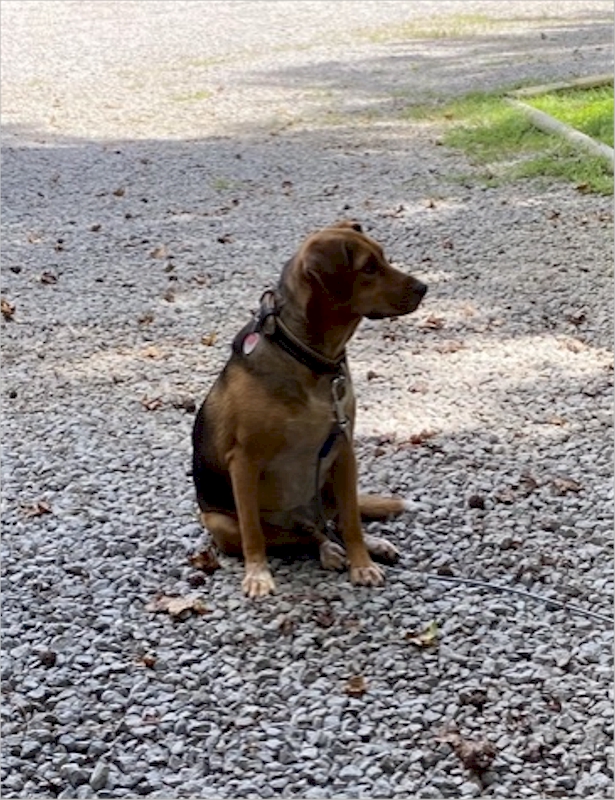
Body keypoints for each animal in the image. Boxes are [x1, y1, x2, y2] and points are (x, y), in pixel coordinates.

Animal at [192, 222, 428, 596]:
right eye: (368, 268)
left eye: (383, 256)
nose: (424, 288)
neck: (311, 357)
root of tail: (303, 515)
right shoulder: (243, 461)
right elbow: (253, 534)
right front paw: (257, 575)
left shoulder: (344, 449)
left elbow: (352, 523)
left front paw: (363, 563)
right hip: (221, 524)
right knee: (301, 535)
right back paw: (327, 550)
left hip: (330, 485)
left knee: (331, 523)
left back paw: (366, 545)